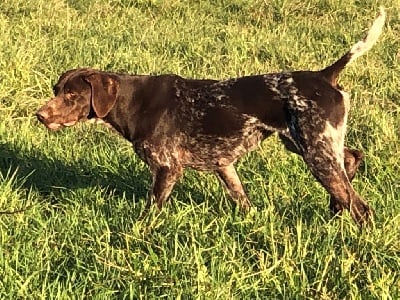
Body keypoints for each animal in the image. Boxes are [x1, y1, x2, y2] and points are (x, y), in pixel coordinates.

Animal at [36, 7, 384, 225]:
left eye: (71, 95)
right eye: (56, 89)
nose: (40, 115)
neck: (133, 101)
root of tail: (325, 76)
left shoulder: (167, 168)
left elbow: (151, 211)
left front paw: (139, 232)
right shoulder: (223, 165)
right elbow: (243, 201)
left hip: (316, 152)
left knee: (360, 206)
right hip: (308, 144)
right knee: (351, 160)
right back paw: (335, 210)